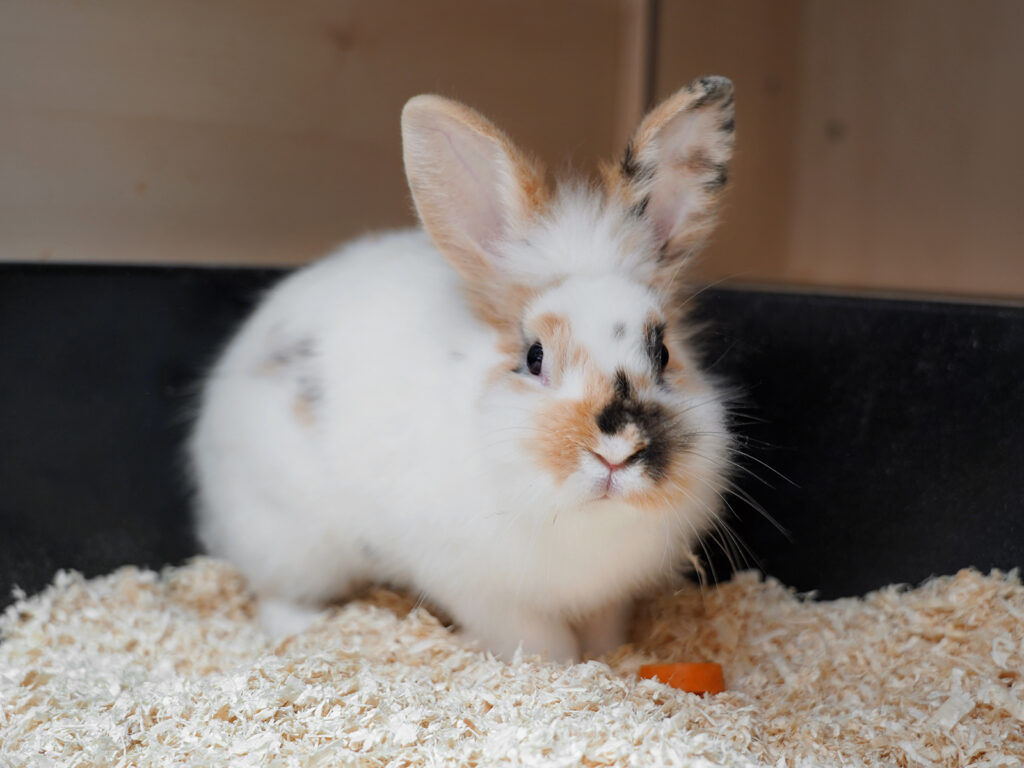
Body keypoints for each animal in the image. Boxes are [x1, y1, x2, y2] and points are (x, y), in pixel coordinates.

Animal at [188, 75, 736, 663]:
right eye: (534, 357)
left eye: (662, 352)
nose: (617, 451)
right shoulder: (482, 589)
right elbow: (539, 641)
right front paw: (544, 661)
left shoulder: (609, 599)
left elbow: (601, 635)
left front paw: (606, 662)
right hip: (290, 541)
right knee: (276, 596)